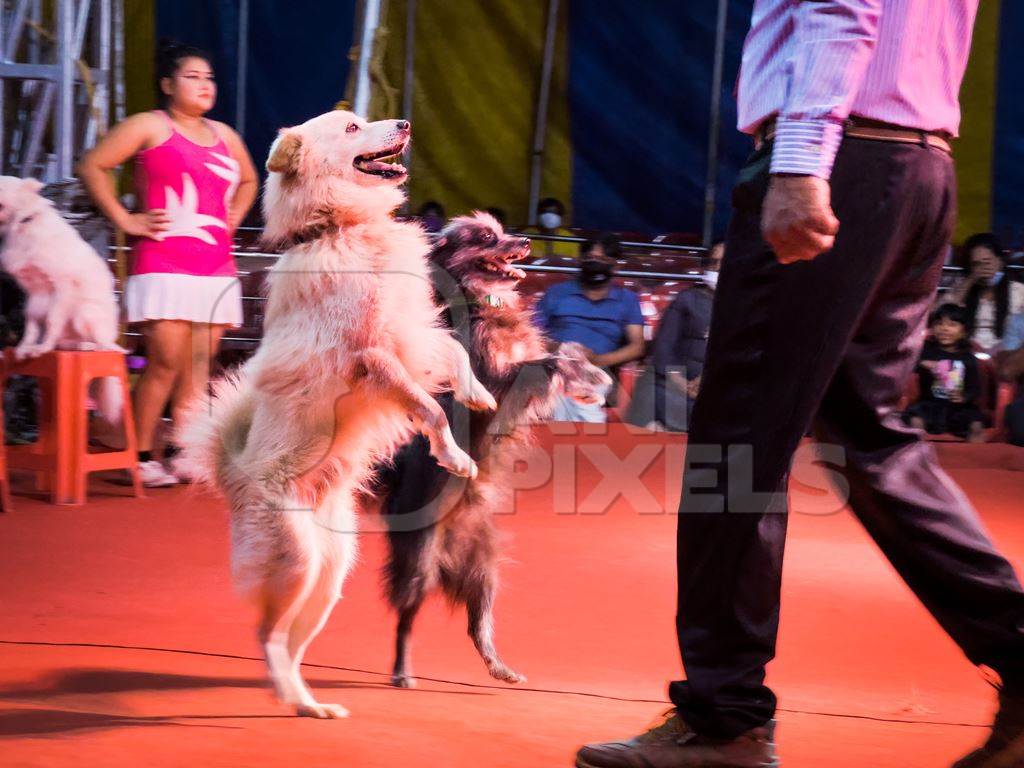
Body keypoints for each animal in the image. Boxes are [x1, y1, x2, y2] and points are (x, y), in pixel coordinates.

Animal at [178, 109, 497, 720]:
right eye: (351, 128)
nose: (406, 121)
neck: (342, 228)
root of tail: (233, 478)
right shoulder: (374, 358)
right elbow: (429, 409)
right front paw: (455, 456)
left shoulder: (408, 333)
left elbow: (454, 353)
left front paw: (477, 395)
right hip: (298, 563)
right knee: (268, 635)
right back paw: (295, 700)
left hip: (331, 577)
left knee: (287, 642)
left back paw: (308, 703)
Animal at [380, 214, 610, 688]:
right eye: (486, 237)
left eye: (502, 230)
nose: (524, 240)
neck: (481, 302)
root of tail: (449, 557)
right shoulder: (498, 384)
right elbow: (546, 362)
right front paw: (586, 379)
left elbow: (558, 353)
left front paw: (588, 374)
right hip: (419, 562)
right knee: (406, 618)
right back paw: (401, 670)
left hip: (486, 569)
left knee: (477, 624)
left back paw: (500, 666)